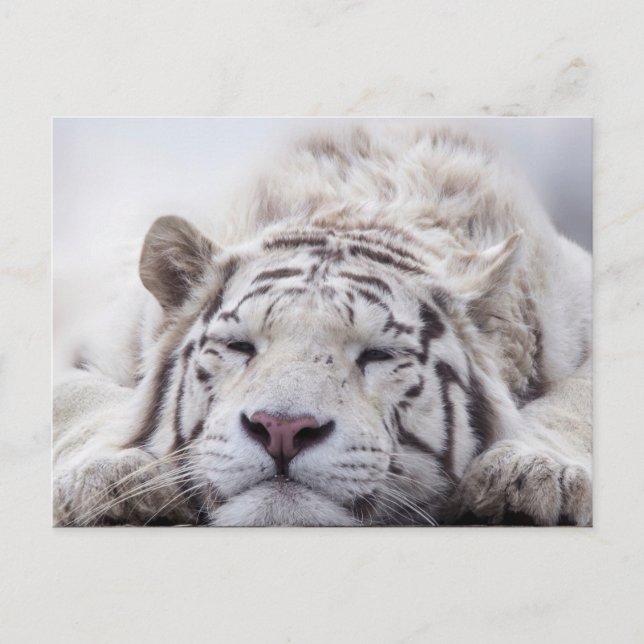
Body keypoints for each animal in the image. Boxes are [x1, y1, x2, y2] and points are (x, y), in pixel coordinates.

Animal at [53, 124, 592, 527]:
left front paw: (530, 473)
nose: (282, 430)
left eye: (377, 354)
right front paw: (114, 481)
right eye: (240, 346)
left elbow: (575, 402)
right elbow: (80, 401)